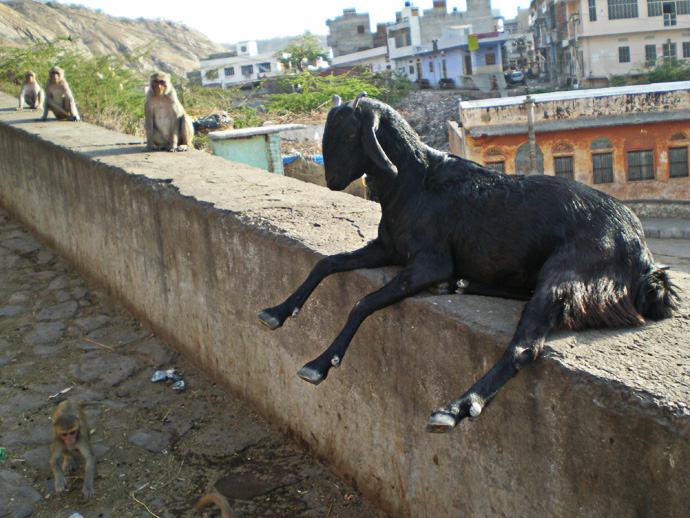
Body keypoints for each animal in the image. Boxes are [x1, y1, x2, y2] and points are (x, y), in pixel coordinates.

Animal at [258, 93, 680, 433]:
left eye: (348, 135)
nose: (330, 180)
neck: (416, 181)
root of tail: (642, 252)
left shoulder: (429, 262)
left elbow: (364, 303)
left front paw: (319, 363)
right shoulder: (386, 248)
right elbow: (326, 263)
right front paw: (278, 311)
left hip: (568, 271)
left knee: (524, 346)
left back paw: (455, 407)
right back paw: (461, 286)